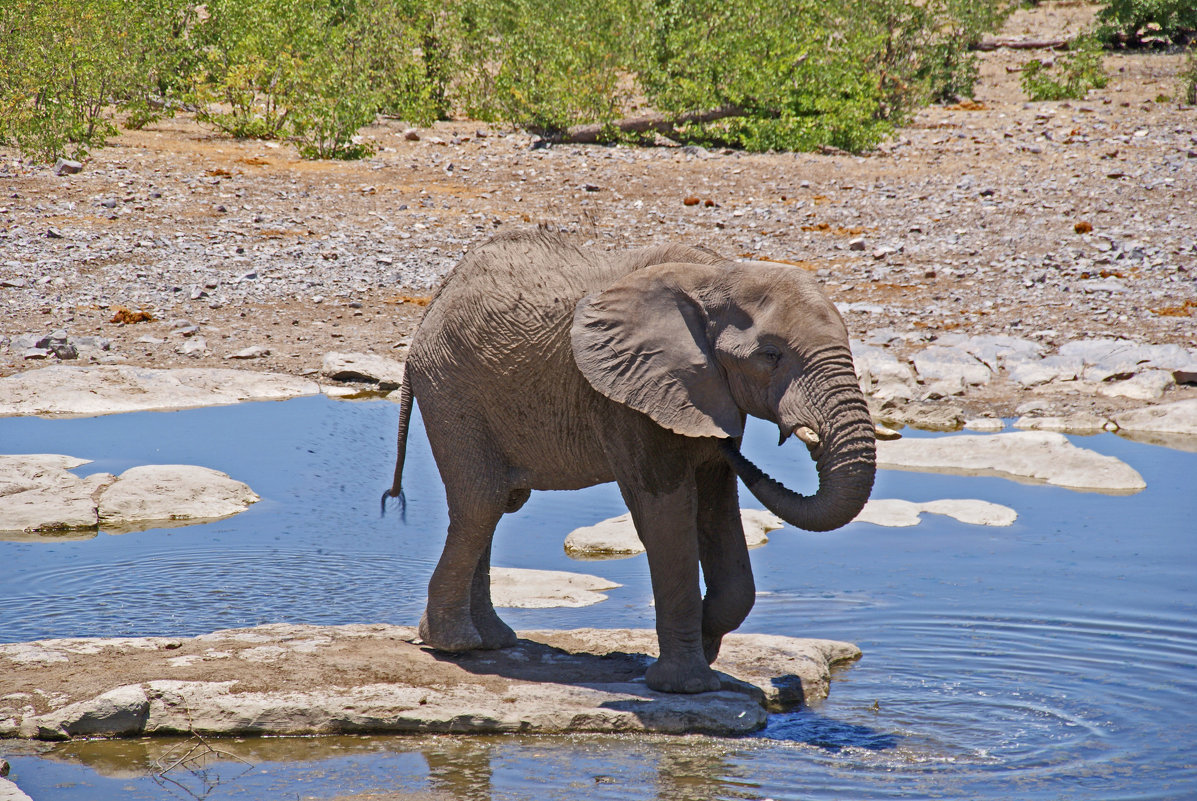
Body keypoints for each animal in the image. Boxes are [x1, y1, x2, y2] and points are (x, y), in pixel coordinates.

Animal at [385, 227, 880, 689]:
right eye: (771, 355)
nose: (808, 436)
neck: (719, 274)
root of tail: (434, 302)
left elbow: (718, 509)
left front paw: (705, 645)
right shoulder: (629, 392)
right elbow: (666, 512)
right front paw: (687, 686)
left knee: (495, 506)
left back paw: (493, 641)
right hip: (451, 388)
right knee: (481, 504)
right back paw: (457, 645)